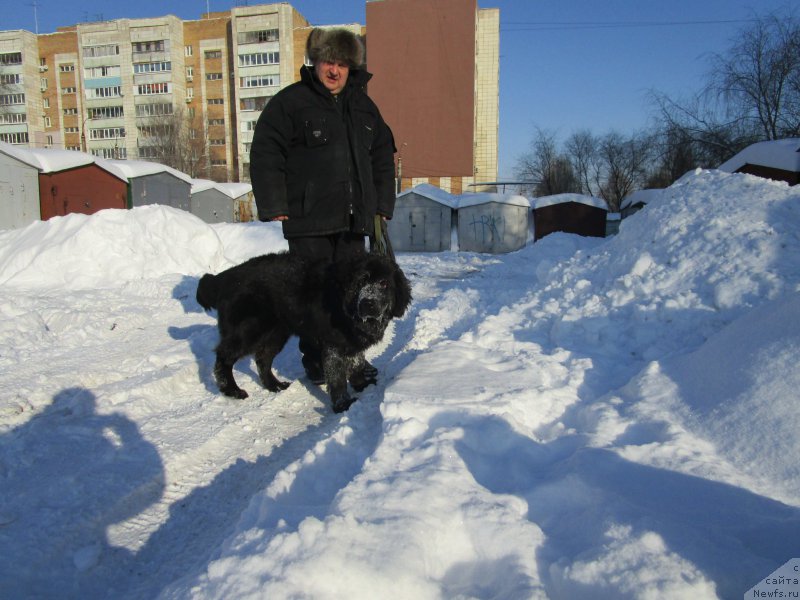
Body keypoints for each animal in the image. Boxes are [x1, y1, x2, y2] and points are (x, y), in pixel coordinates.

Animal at [197, 252, 412, 412]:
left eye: (384, 283)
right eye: (360, 282)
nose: (368, 303)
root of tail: (225, 277)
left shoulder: (351, 344)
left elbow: (356, 365)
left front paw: (361, 386)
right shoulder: (333, 345)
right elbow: (337, 378)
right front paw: (343, 405)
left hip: (277, 333)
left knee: (262, 358)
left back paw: (273, 385)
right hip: (248, 331)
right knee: (224, 357)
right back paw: (231, 390)